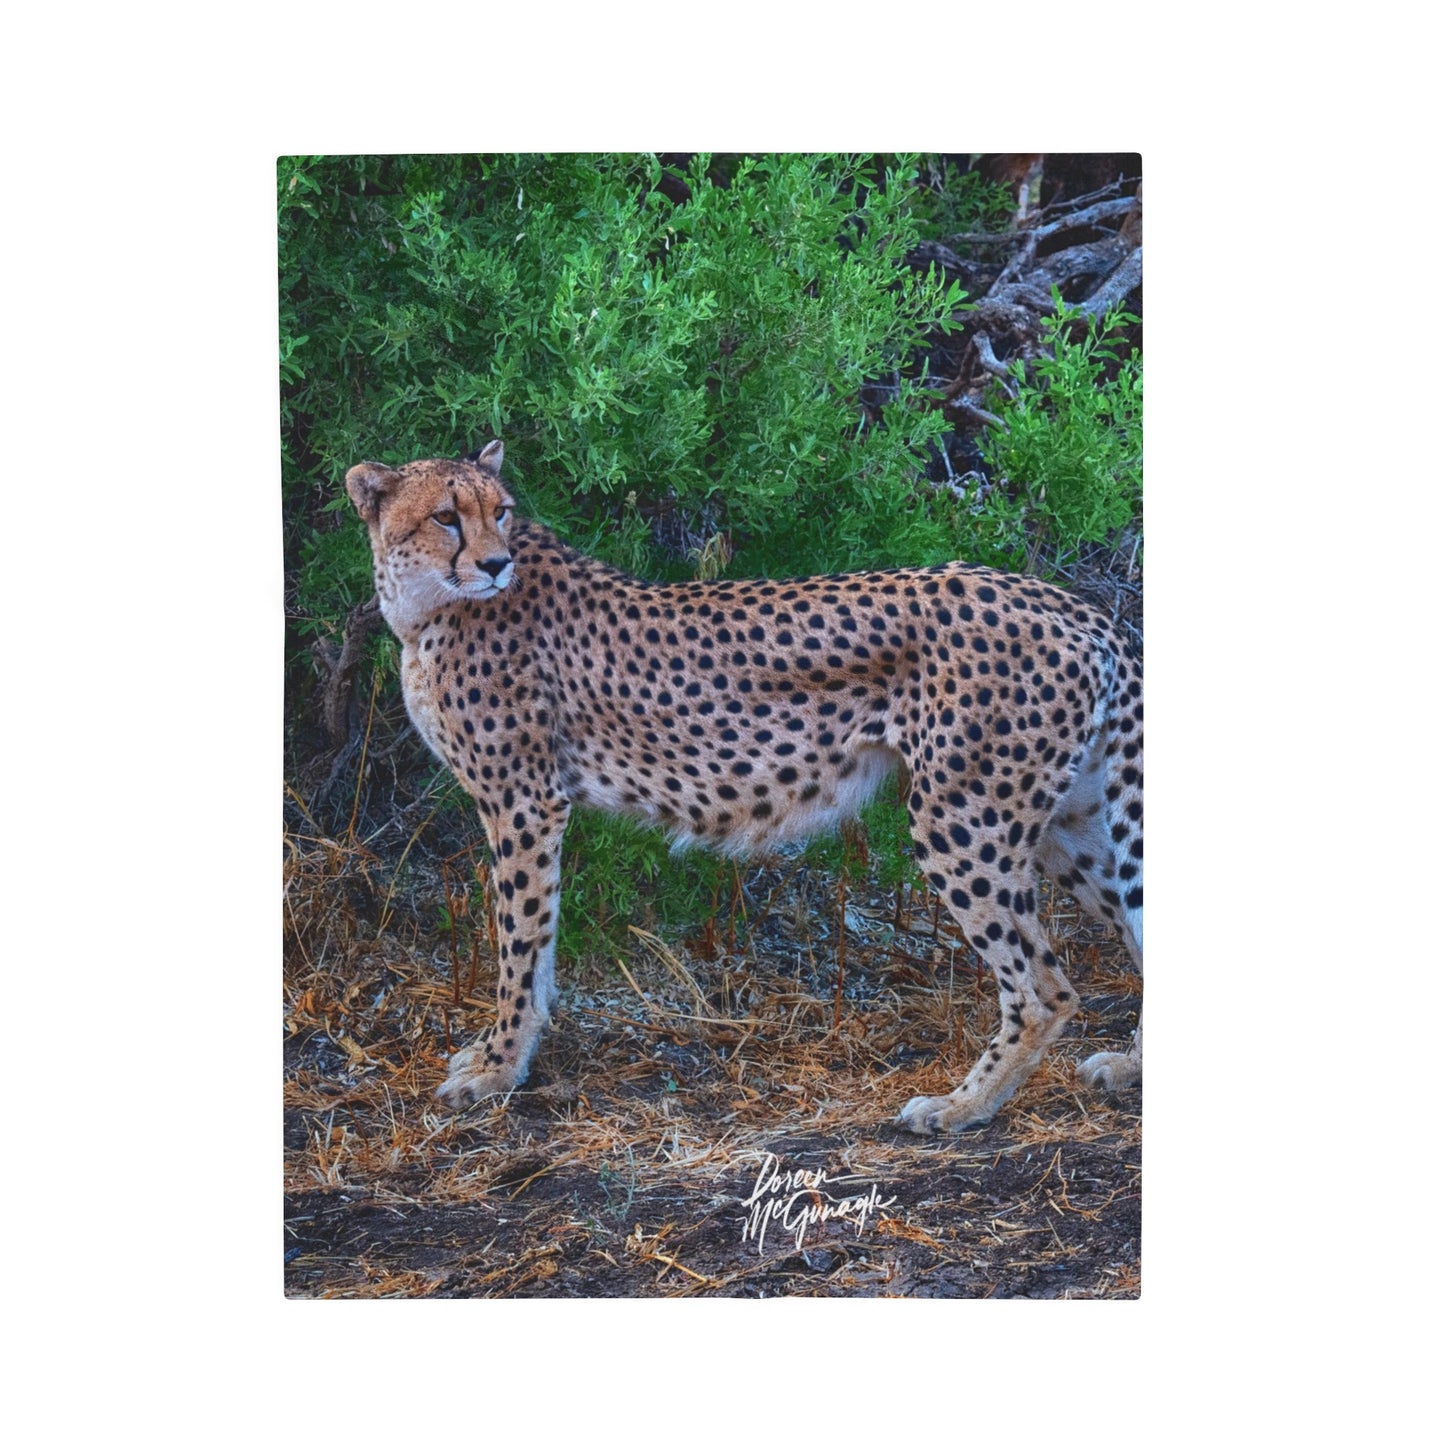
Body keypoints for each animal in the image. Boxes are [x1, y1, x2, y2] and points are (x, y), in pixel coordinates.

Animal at [345, 440, 1143, 1134]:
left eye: (500, 510)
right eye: (446, 515)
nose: (495, 562)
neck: (426, 604)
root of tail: (1062, 600)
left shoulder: (523, 800)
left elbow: (518, 939)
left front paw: (499, 1069)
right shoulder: (529, 805)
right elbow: (536, 942)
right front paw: (508, 1055)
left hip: (963, 817)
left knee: (1044, 990)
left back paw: (959, 1107)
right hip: (1068, 823)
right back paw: (1127, 1068)